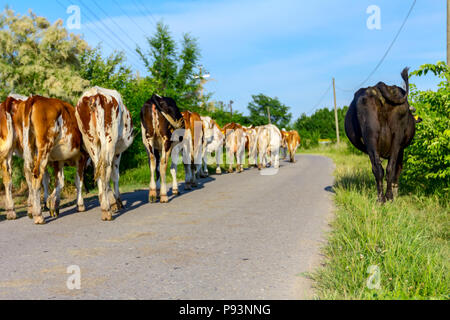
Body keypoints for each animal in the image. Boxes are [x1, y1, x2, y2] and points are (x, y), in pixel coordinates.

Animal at [22, 96, 89, 224]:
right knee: (37, 177)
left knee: (29, 176)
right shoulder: (81, 157)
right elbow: (78, 181)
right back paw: (38, 216)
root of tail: (36, 98)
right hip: (44, 147)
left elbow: (60, 181)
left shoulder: (58, 160)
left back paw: (31, 210)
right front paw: (80, 205)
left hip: (29, 150)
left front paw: (54, 204)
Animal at [344, 67, 422, 202]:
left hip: (370, 135)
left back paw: (380, 199)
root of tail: (380, 85)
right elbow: (398, 168)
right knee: (391, 167)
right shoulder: (401, 149)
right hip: (396, 138)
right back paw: (389, 197)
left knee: (378, 168)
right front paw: (395, 191)